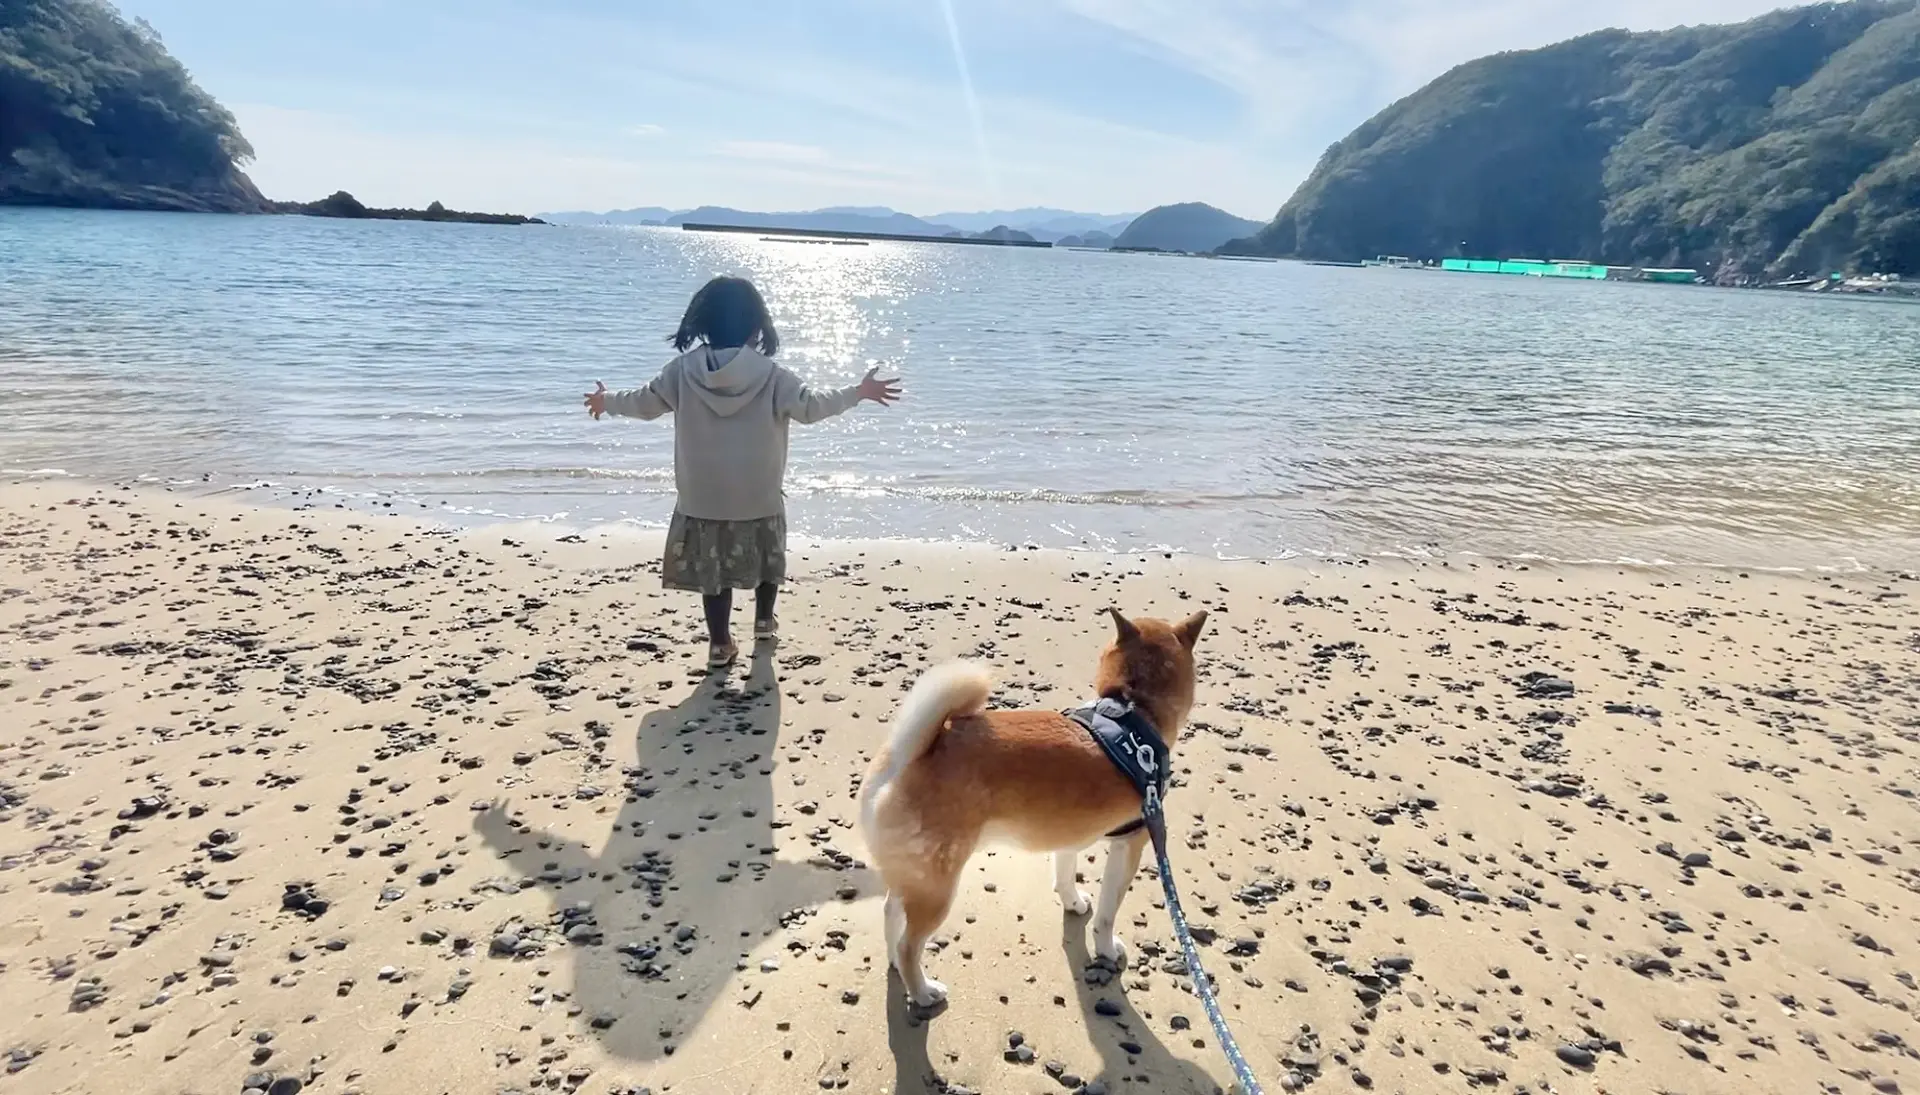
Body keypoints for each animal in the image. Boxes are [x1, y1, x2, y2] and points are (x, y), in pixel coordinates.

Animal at [857, 607, 1207, 1007]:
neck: (1132, 707)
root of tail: (907, 756)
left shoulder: (1068, 835)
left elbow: (1065, 875)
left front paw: (1073, 902)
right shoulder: (1129, 844)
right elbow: (1106, 915)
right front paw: (1106, 949)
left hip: (913, 877)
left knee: (890, 915)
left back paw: (896, 967)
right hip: (936, 889)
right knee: (909, 946)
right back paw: (923, 991)